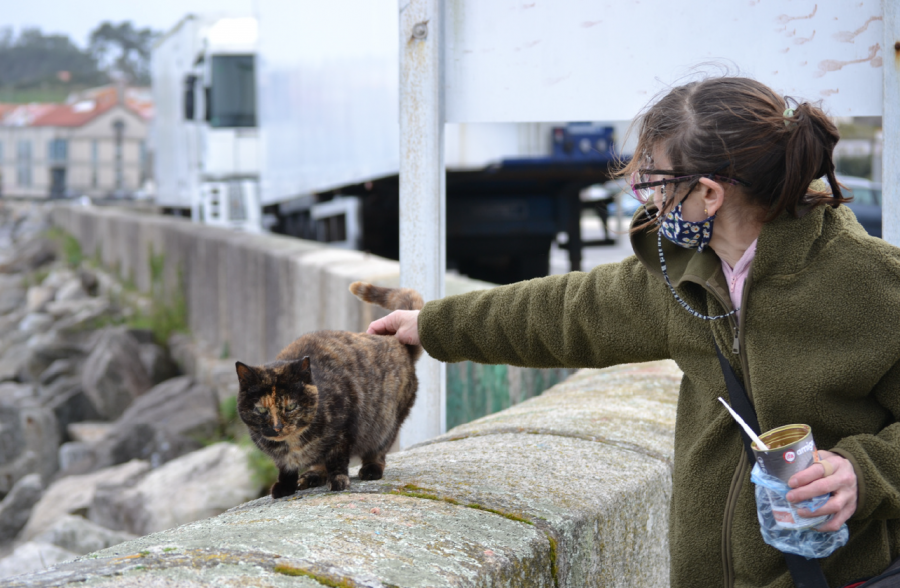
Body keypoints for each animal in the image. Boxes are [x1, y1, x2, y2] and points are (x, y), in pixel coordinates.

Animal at [237, 280, 424, 496]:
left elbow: (337, 459)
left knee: (378, 449)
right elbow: (285, 467)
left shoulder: (343, 431)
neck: (292, 442)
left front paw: (338, 480)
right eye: (261, 410)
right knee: (319, 463)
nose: (277, 427)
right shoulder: (281, 457)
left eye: (291, 406)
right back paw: (312, 476)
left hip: (385, 423)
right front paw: (285, 486)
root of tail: (397, 342)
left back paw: (371, 469)